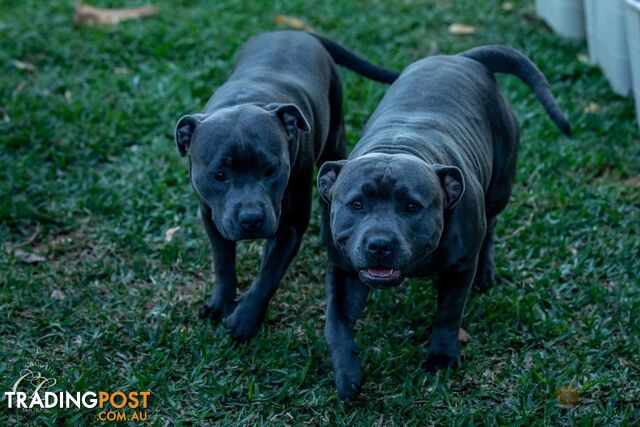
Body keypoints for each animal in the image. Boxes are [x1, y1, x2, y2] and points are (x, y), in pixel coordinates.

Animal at [318, 44, 572, 402]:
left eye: (412, 206)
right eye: (356, 204)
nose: (379, 244)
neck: (399, 146)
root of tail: (464, 57)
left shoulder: (459, 267)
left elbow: (449, 314)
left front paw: (441, 358)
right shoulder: (342, 269)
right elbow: (336, 323)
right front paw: (347, 375)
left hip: (500, 187)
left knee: (491, 226)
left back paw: (485, 273)